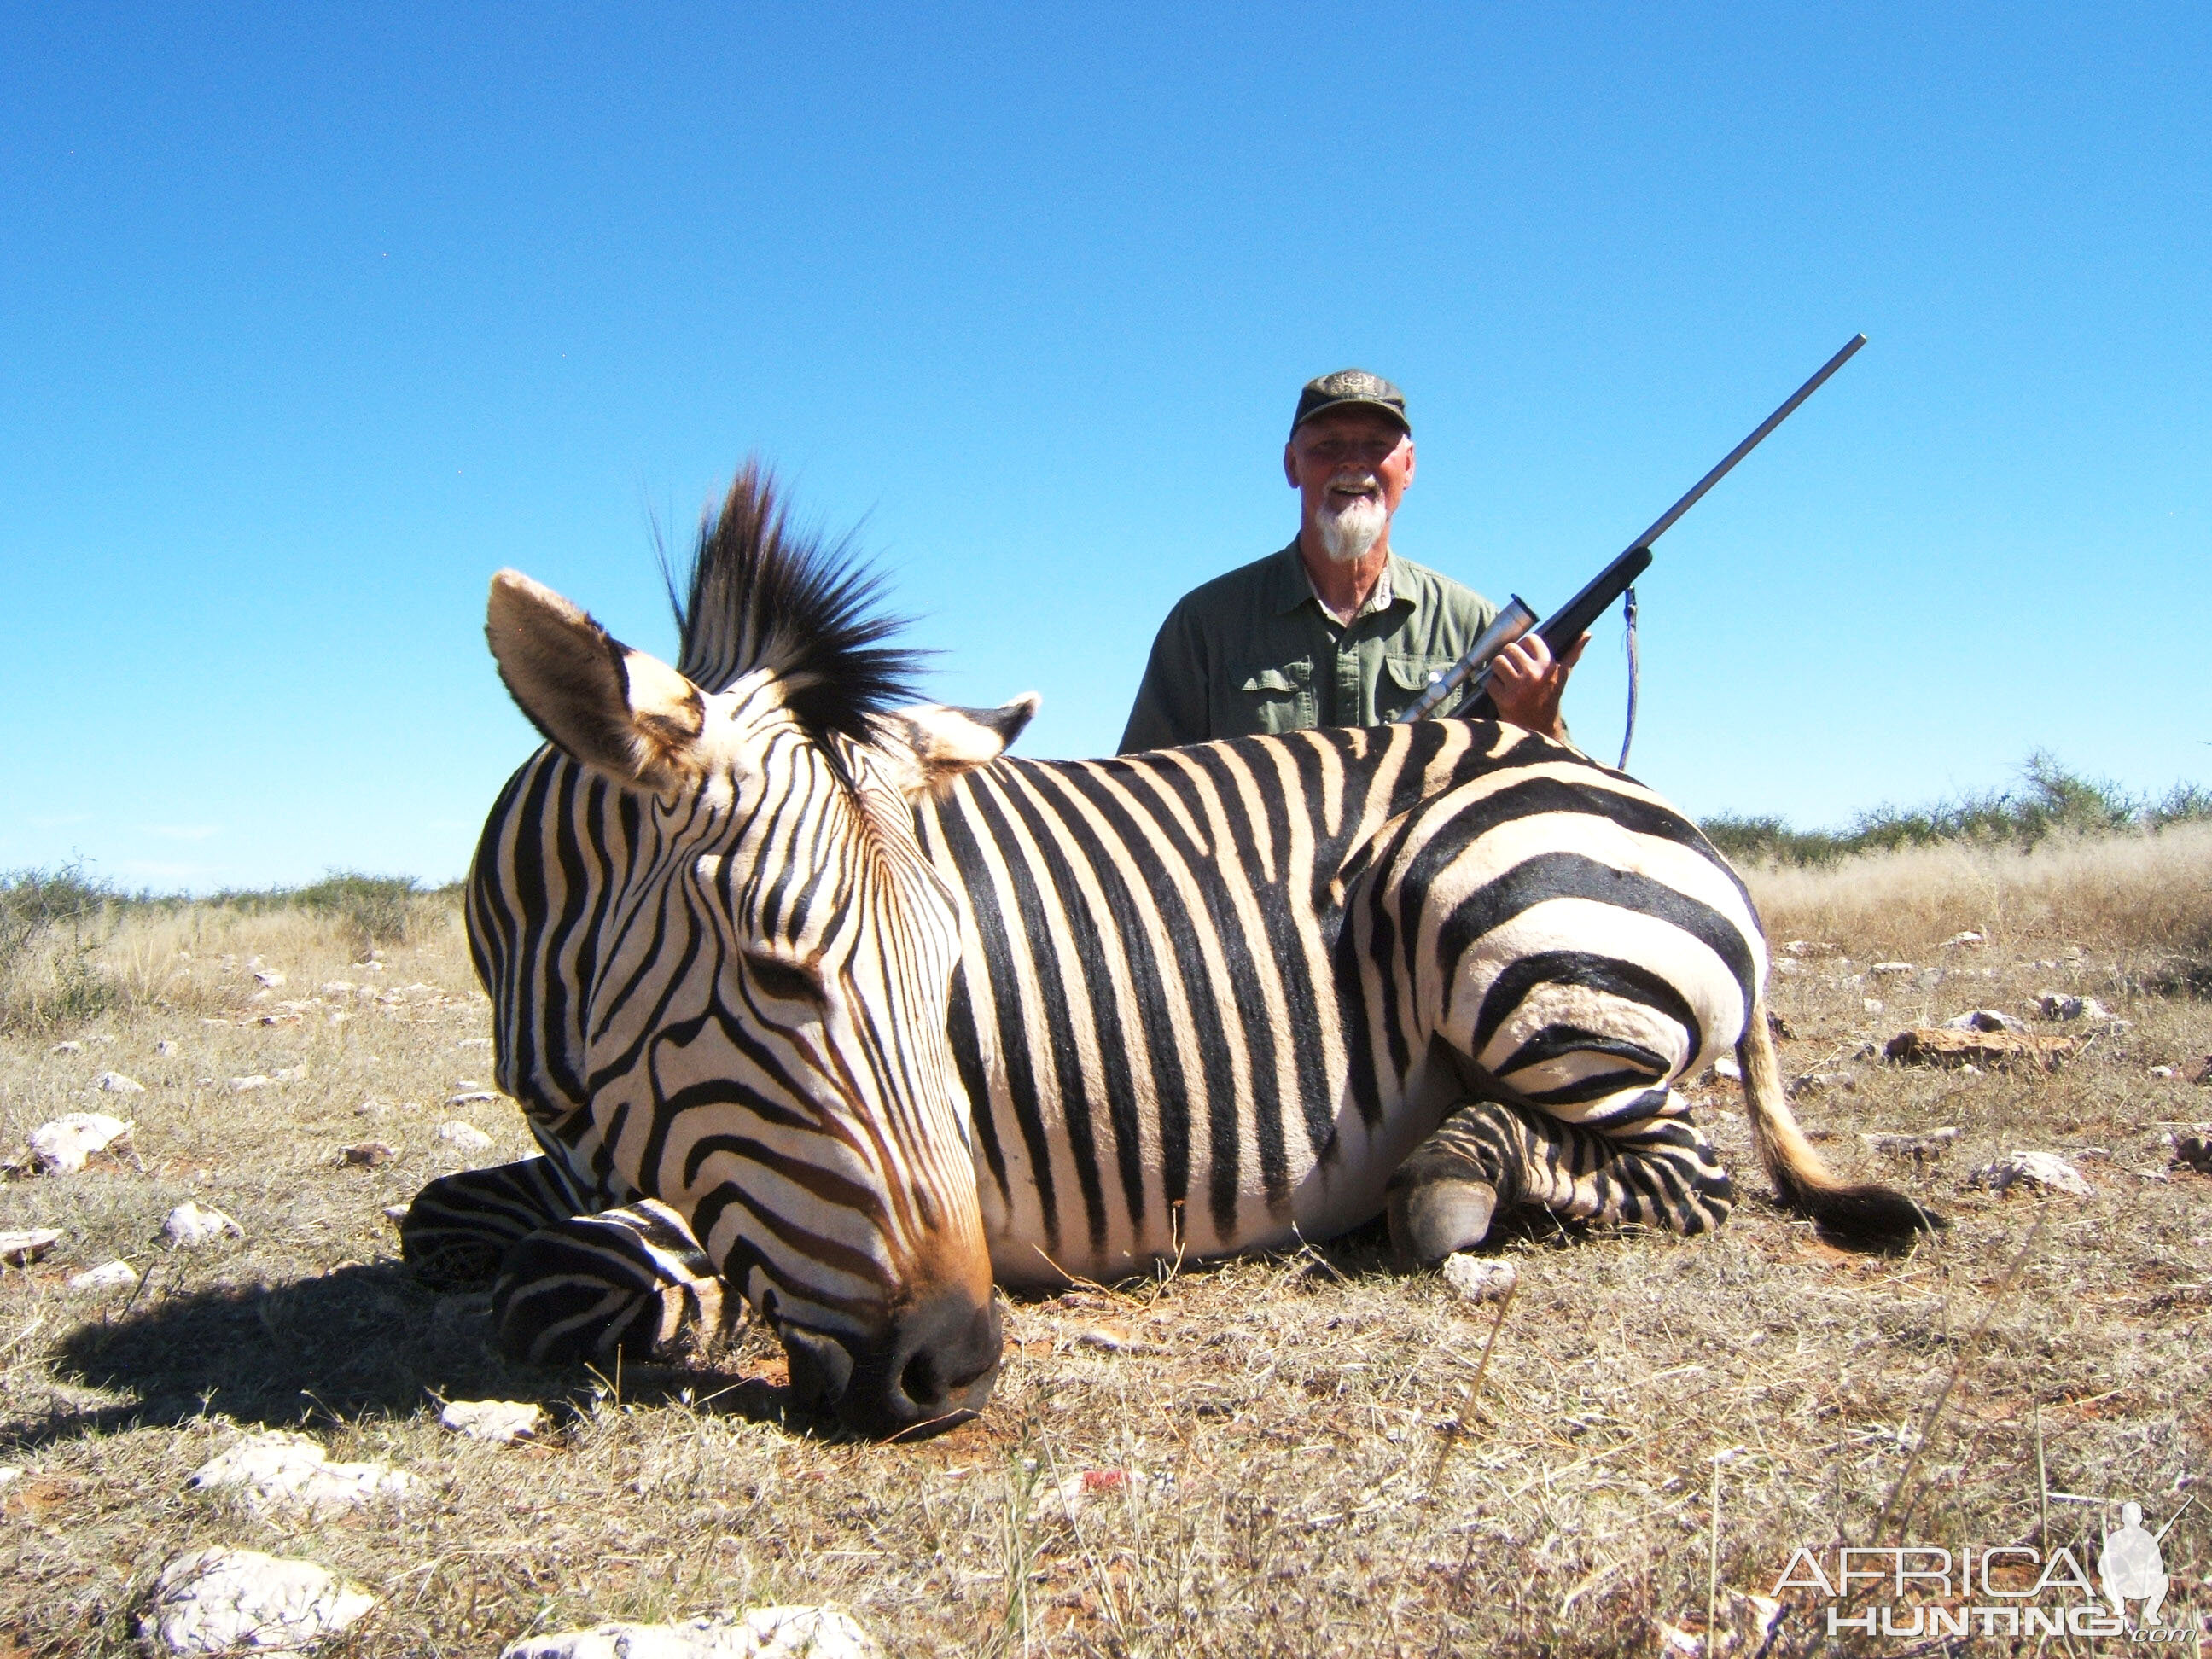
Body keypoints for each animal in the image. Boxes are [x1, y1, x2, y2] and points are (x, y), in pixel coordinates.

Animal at [402, 464, 1937, 1441]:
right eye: (776, 974)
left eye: (950, 985)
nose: (956, 1366)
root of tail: (1644, 801)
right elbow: (440, 1215)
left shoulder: (699, 1186)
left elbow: (568, 1286)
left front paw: (689, 1303)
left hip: (1498, 918)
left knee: (1678, 1168)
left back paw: (1445, 1180)